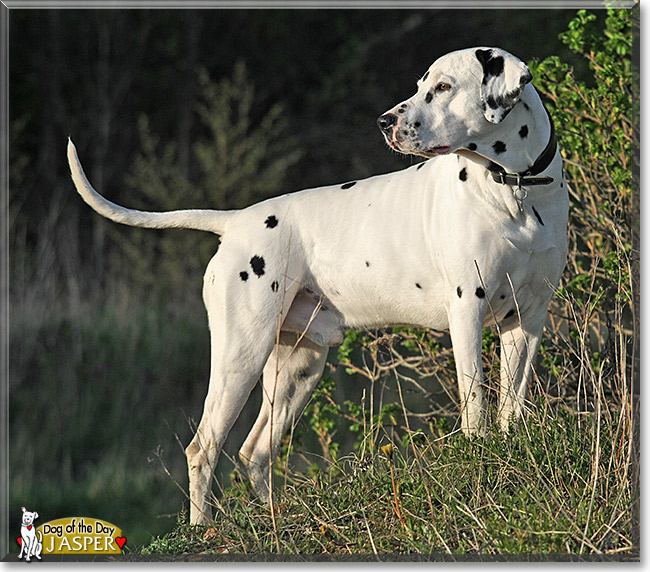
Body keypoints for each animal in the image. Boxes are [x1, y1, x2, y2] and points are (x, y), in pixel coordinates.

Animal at [68, 47, 568, 524]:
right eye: (421, 85)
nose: (384, 122)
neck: (516, 190)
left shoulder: (527, 322)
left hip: (298, 368)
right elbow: (476, 407)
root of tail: (234, 222)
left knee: (254, 452)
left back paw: (272, 518)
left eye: (443, 86)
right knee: (203, 448)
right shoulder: (466, 314)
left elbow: (512, 408)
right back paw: (202, 526)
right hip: (240, 359)